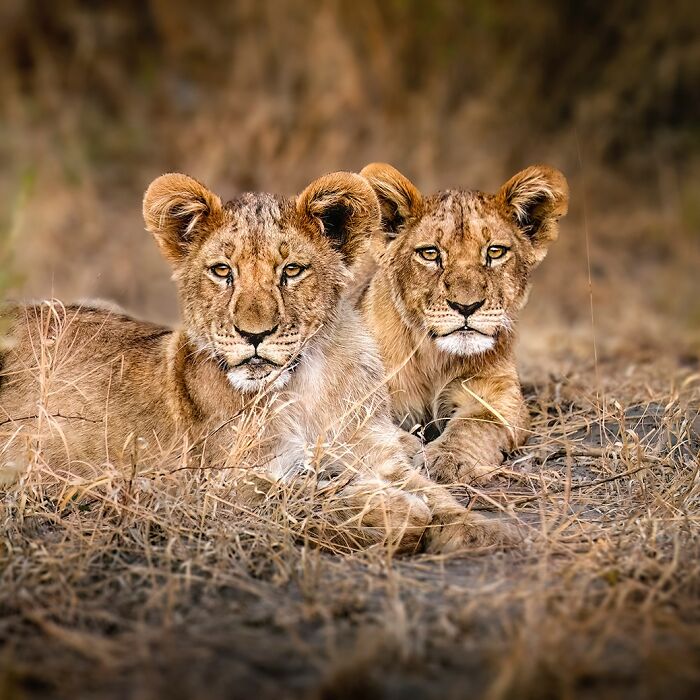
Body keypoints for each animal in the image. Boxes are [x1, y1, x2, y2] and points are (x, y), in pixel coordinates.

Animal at [0, 171, 516, 553]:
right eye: (222, 271)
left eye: (291, 271)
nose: (253, 335)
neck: (306, 386)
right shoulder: (218, 486)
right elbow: (309, 495)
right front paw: (392, 511)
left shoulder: (372, 449)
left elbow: (434, 493)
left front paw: (479, 529)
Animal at [358, 163, 569, 484]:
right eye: (430, 253)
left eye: (495, 252)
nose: (466, 306)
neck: (434, 357)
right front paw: (405, 448)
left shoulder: (500, 394)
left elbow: (476, 423)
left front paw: (449, 458)